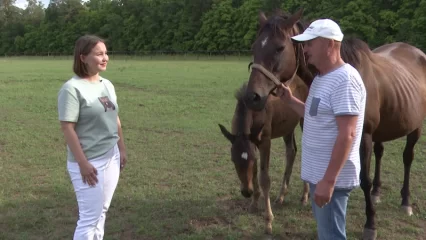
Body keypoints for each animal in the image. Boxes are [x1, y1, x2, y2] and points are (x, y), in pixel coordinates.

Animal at [218, 78, 308, 234]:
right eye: (232, 160)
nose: (246, 192)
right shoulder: (253, 143)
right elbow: (254, 172)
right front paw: (254, 203)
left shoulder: (264, 141)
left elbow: (264, 179)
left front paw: (268, 222)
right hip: (288, 126)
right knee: (291, 151)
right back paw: (281, 196)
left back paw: (304, 197)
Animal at [241, 7, 424, 240]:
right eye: (255, 47)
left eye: (280, 47)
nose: (252, 97)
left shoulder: (362, 137)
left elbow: (364, 179)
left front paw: (371, 224)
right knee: (381, 153)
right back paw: (377, 193)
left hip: (415, 127)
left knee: (408, 158)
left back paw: (406, 202)